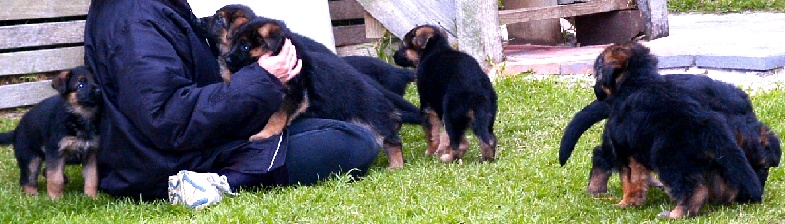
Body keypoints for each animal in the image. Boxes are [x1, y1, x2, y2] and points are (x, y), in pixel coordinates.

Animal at [0, 66, 102, 200]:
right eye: (81, 85)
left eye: (96, 81)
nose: (99, 91)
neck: (80, 117)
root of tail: (16, 130)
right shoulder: (55, 152)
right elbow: (55, 178)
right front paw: (56, 198)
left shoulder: (90, 154)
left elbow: (92, 177)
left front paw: (91, 197)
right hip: (30, 158)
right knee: (27, 178)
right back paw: (32, 195)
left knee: (45, 171)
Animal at [392, 24, 496, 163]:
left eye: (404, 46)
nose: (394, 56)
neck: (435, 49)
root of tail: (475, 87)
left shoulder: (427, 106)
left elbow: (432, 134)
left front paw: (430, 152)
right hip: (485, 115)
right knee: (489, 139)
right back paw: (486, 159)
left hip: (452, 115)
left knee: (460, 143)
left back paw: (447, 158)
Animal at [596, 42, 760, 219]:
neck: (638, 81)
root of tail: (708, 128)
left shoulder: (626, 153)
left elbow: (629, 181)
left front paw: (626, 203)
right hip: (710, 162)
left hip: (668, 160)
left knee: (694, 190)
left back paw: (677, 213)